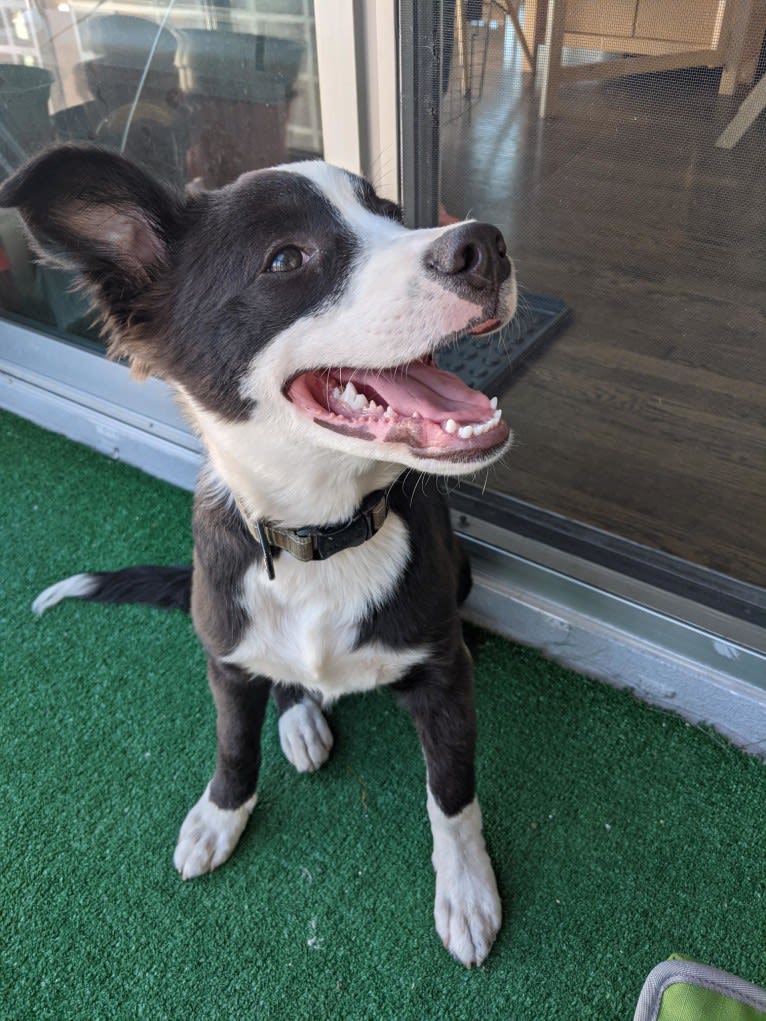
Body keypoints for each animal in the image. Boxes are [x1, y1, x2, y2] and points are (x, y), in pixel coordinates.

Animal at [3, 143, 518, 963]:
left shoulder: (442, 674)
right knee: (284, 686)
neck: (320, 538)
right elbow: (234, 745)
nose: (486, 245)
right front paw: (221, 814)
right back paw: (301, 719)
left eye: (391, 212)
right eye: (285, 258)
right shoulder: (224, 657)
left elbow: (452, 789)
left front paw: (467, 887)